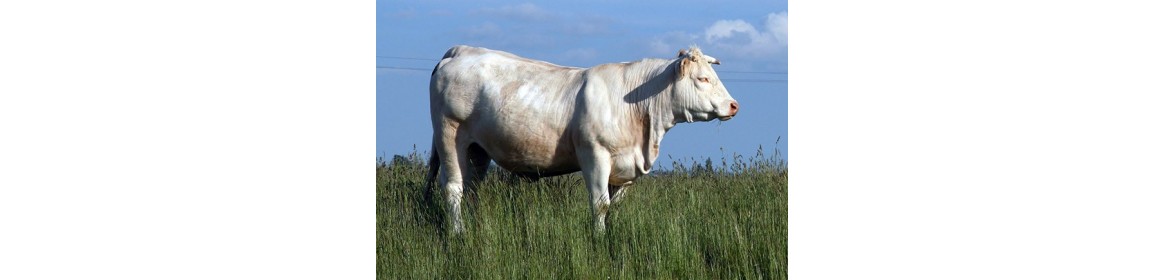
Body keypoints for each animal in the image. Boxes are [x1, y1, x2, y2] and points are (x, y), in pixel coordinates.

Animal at [426, 44, 736, 233]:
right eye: (703, 79)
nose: (734, 105)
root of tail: (461, 51)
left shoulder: (626, 171)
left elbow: (614, 206)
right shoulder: (595, 155)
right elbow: (600, 204)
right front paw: (598, 238)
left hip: (478, 149)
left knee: (472, 189)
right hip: (449, 135)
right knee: (453, 188)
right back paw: (459, 233)